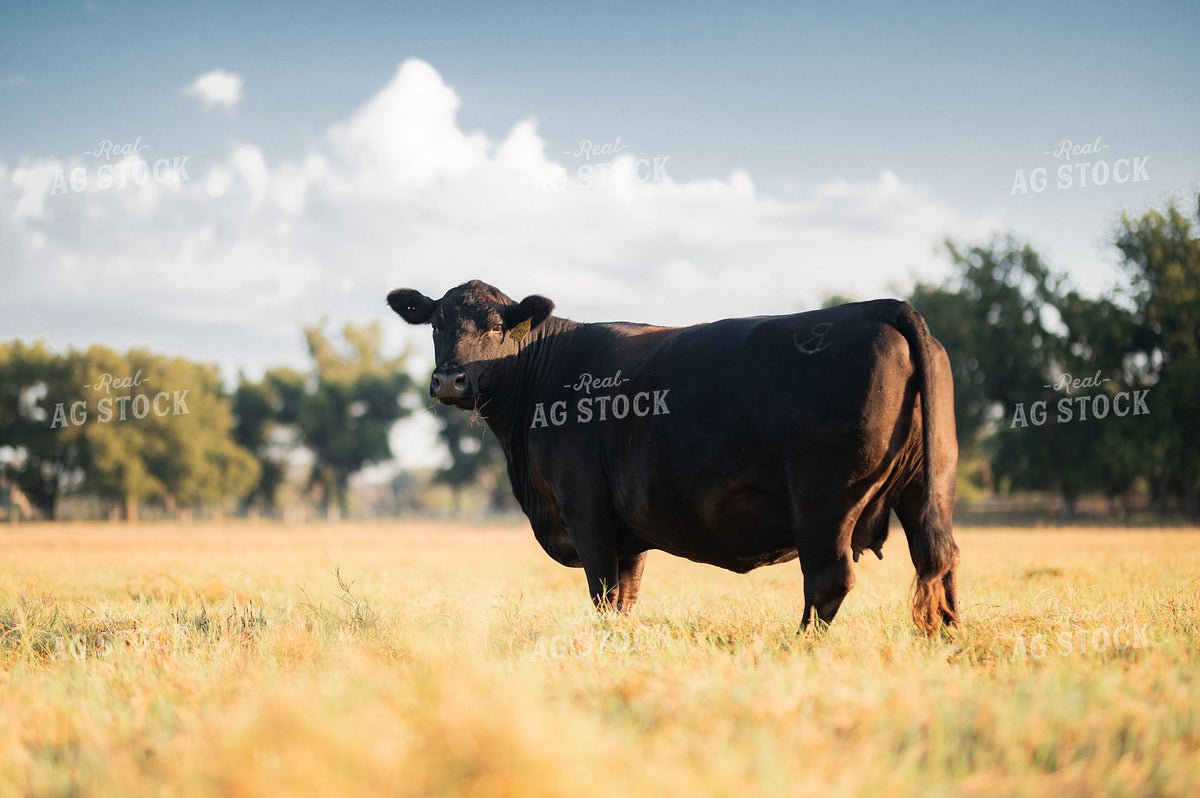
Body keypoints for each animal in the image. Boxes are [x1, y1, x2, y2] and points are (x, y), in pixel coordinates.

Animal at [388, 280, 960, 634]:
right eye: (436, 324)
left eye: (495, 326)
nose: (450, 380)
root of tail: (876, 308)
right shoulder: (627, 526)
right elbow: (626, 596)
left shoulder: (586, 508)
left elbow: (604, 592)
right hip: (929, 487)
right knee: (940, 560)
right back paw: (947, 644)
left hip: (825, 499)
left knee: (829, 579)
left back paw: (798, 648)